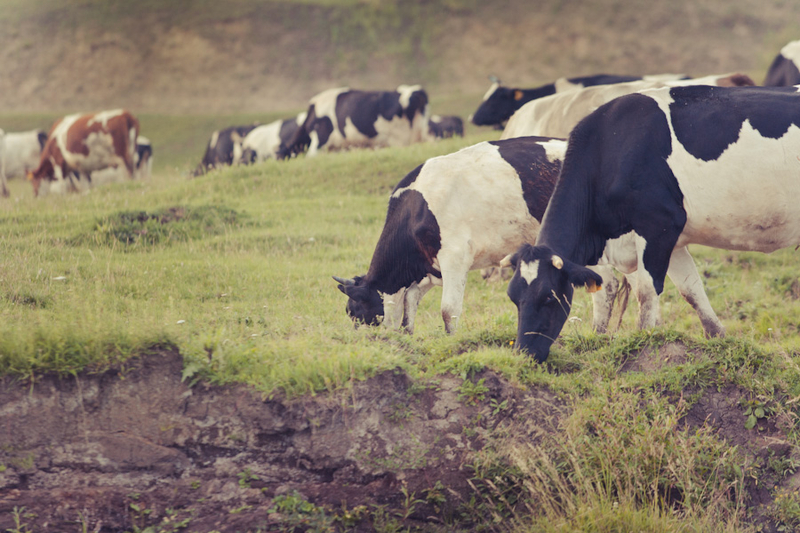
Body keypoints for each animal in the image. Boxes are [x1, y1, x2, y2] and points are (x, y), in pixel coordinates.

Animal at [333, 136, 718, 336]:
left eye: (355, 311)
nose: (364, 344)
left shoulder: (455, 254)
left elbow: (447, 309)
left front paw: (450, 341)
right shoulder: (430, 266)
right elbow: (411, 300)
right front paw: (409, 334)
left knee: (621, 285)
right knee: (620, 285)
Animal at [505, 85, 800, 362]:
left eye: (548, 296)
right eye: (512, 298)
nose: (524, 353)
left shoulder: (659, 225)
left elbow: (647, 291)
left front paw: (644, 343)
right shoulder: (672, 239)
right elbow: (691, 290)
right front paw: (718, 341)